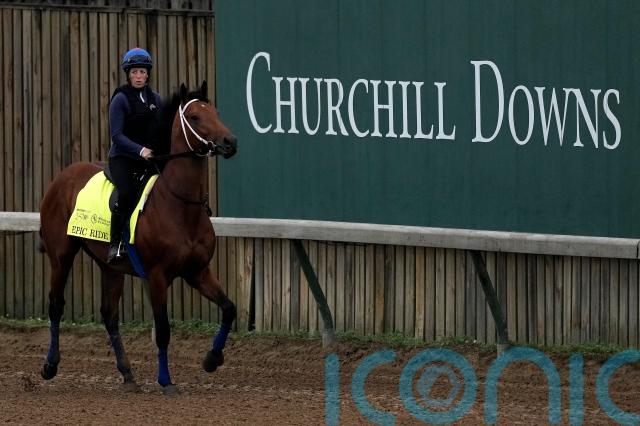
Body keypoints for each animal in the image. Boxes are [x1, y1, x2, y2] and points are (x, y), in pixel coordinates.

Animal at [38, 81, 238, 394]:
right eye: (195, 117)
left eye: (215, 112)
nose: (230, 142)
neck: (180, 205)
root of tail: (63, 176)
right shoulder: (156, 276)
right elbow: (163, 330)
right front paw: (166, 381)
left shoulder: (198, 271)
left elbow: (229, 308)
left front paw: (211, 359)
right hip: (61, 255)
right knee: (56, 306)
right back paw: (49, 365)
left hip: (110, 267)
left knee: (109, 314)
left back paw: (128, 373)